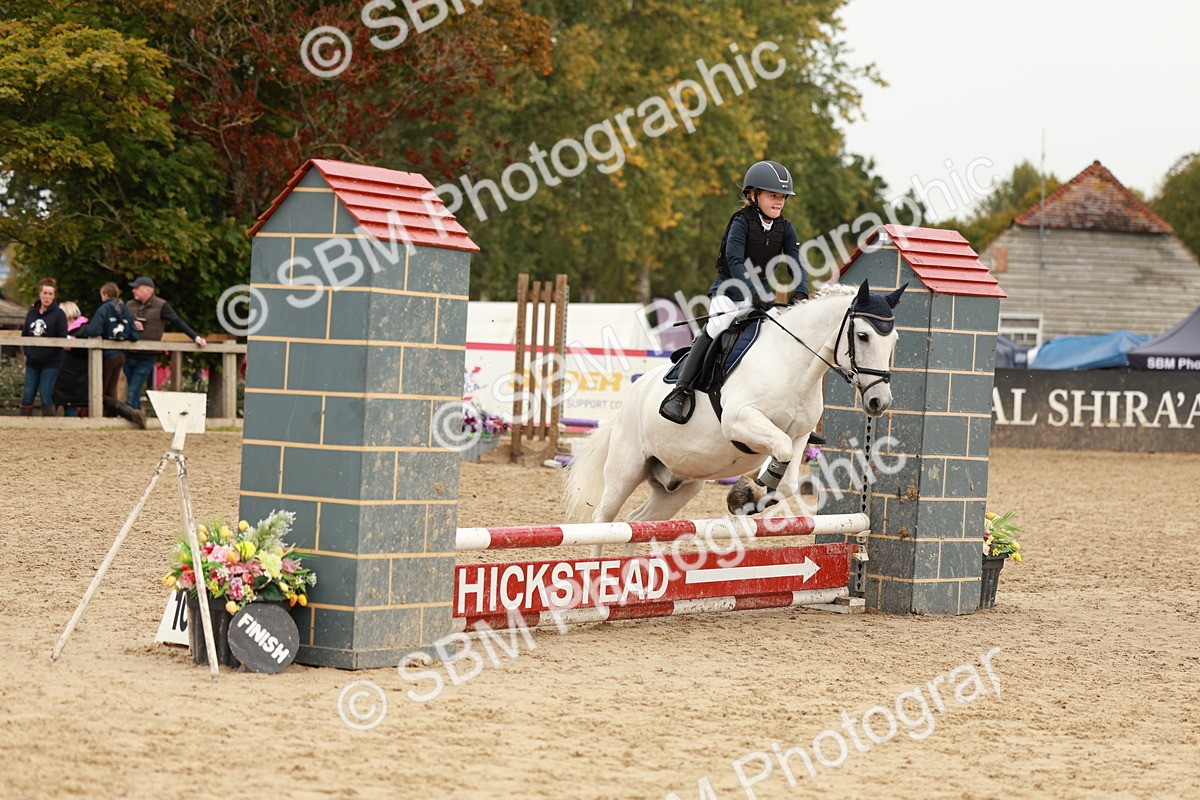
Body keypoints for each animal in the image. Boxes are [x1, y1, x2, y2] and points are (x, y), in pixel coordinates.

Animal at [563, 279, 905, 542]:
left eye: (894, 340)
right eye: (863, 336)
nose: (879, 402)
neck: (792, 362)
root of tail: (631, 397)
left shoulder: (800, 436)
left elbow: (788, 481)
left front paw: (747, 497)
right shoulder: (741, 422)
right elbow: (778, 451)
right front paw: (746, 492)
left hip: (679, 486)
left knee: (638, 520)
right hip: (626, 469)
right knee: (603, 521)